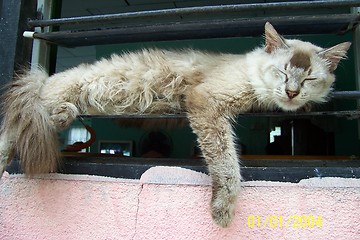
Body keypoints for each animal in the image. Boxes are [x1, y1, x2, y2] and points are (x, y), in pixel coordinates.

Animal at [0, 22, 350, 227]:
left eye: (309, 79)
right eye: (282, 72)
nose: (292, 92)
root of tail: (45, 78)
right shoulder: (207, 102)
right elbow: (227, 164)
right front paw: (222, 210)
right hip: (51, 99)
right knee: (10, 131)